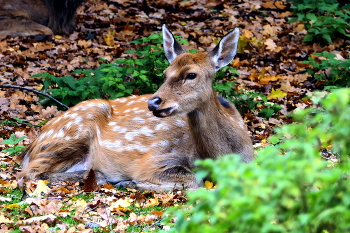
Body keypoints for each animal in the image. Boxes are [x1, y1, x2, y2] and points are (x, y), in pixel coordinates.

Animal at [17, 25, 254, 190]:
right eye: (165, 73)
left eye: (191, 74)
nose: (153, 101)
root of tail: (32, 145)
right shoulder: (155, 159)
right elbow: (193, 179)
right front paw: (129, 182)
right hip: (75, 128)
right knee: (30, 172)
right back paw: (101, 176)